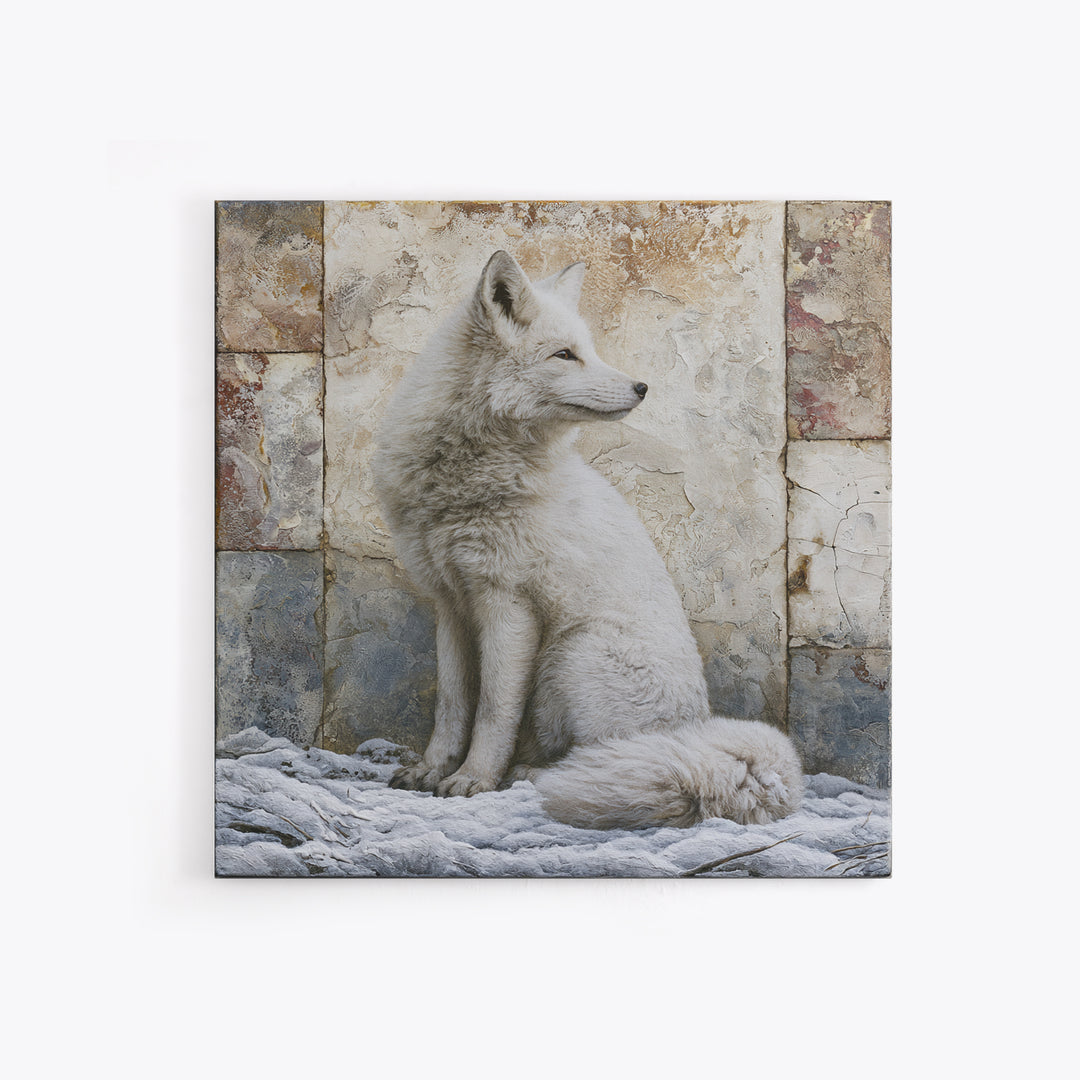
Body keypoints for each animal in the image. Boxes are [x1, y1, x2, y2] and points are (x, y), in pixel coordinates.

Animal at [371, 250, 802, 829]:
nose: (642, 388)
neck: (466, 484)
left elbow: (494, 710)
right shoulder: (451, 603)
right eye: (564, 355)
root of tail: (692, 729)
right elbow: (452, 706)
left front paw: (473, 779)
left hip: (570, 654)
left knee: (595, 758)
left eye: (588, 350)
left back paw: (535, 775)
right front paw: (432, 770)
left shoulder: (509, 605)